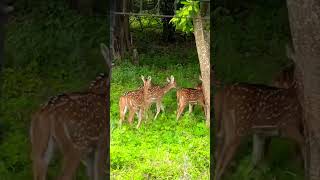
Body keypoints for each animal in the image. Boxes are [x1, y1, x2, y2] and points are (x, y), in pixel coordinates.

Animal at [30, 43, 112, 179]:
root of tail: (47, 114)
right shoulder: (103, 142)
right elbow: (99, 174)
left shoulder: (90, 152)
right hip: (75, 146)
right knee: (63, 176)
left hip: (38, 143)